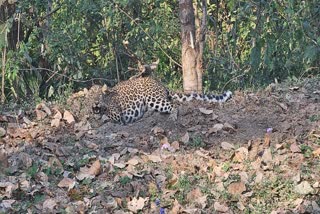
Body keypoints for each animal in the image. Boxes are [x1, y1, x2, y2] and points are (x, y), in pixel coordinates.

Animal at [91, 76, 231, 123]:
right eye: (91, 96)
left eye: (99, 96)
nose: (96, 102)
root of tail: (159, 83)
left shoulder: (117, 114)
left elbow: (107, 115)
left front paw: (101, 117)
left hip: (154, 98)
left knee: (174, 105)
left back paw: (172, 117)